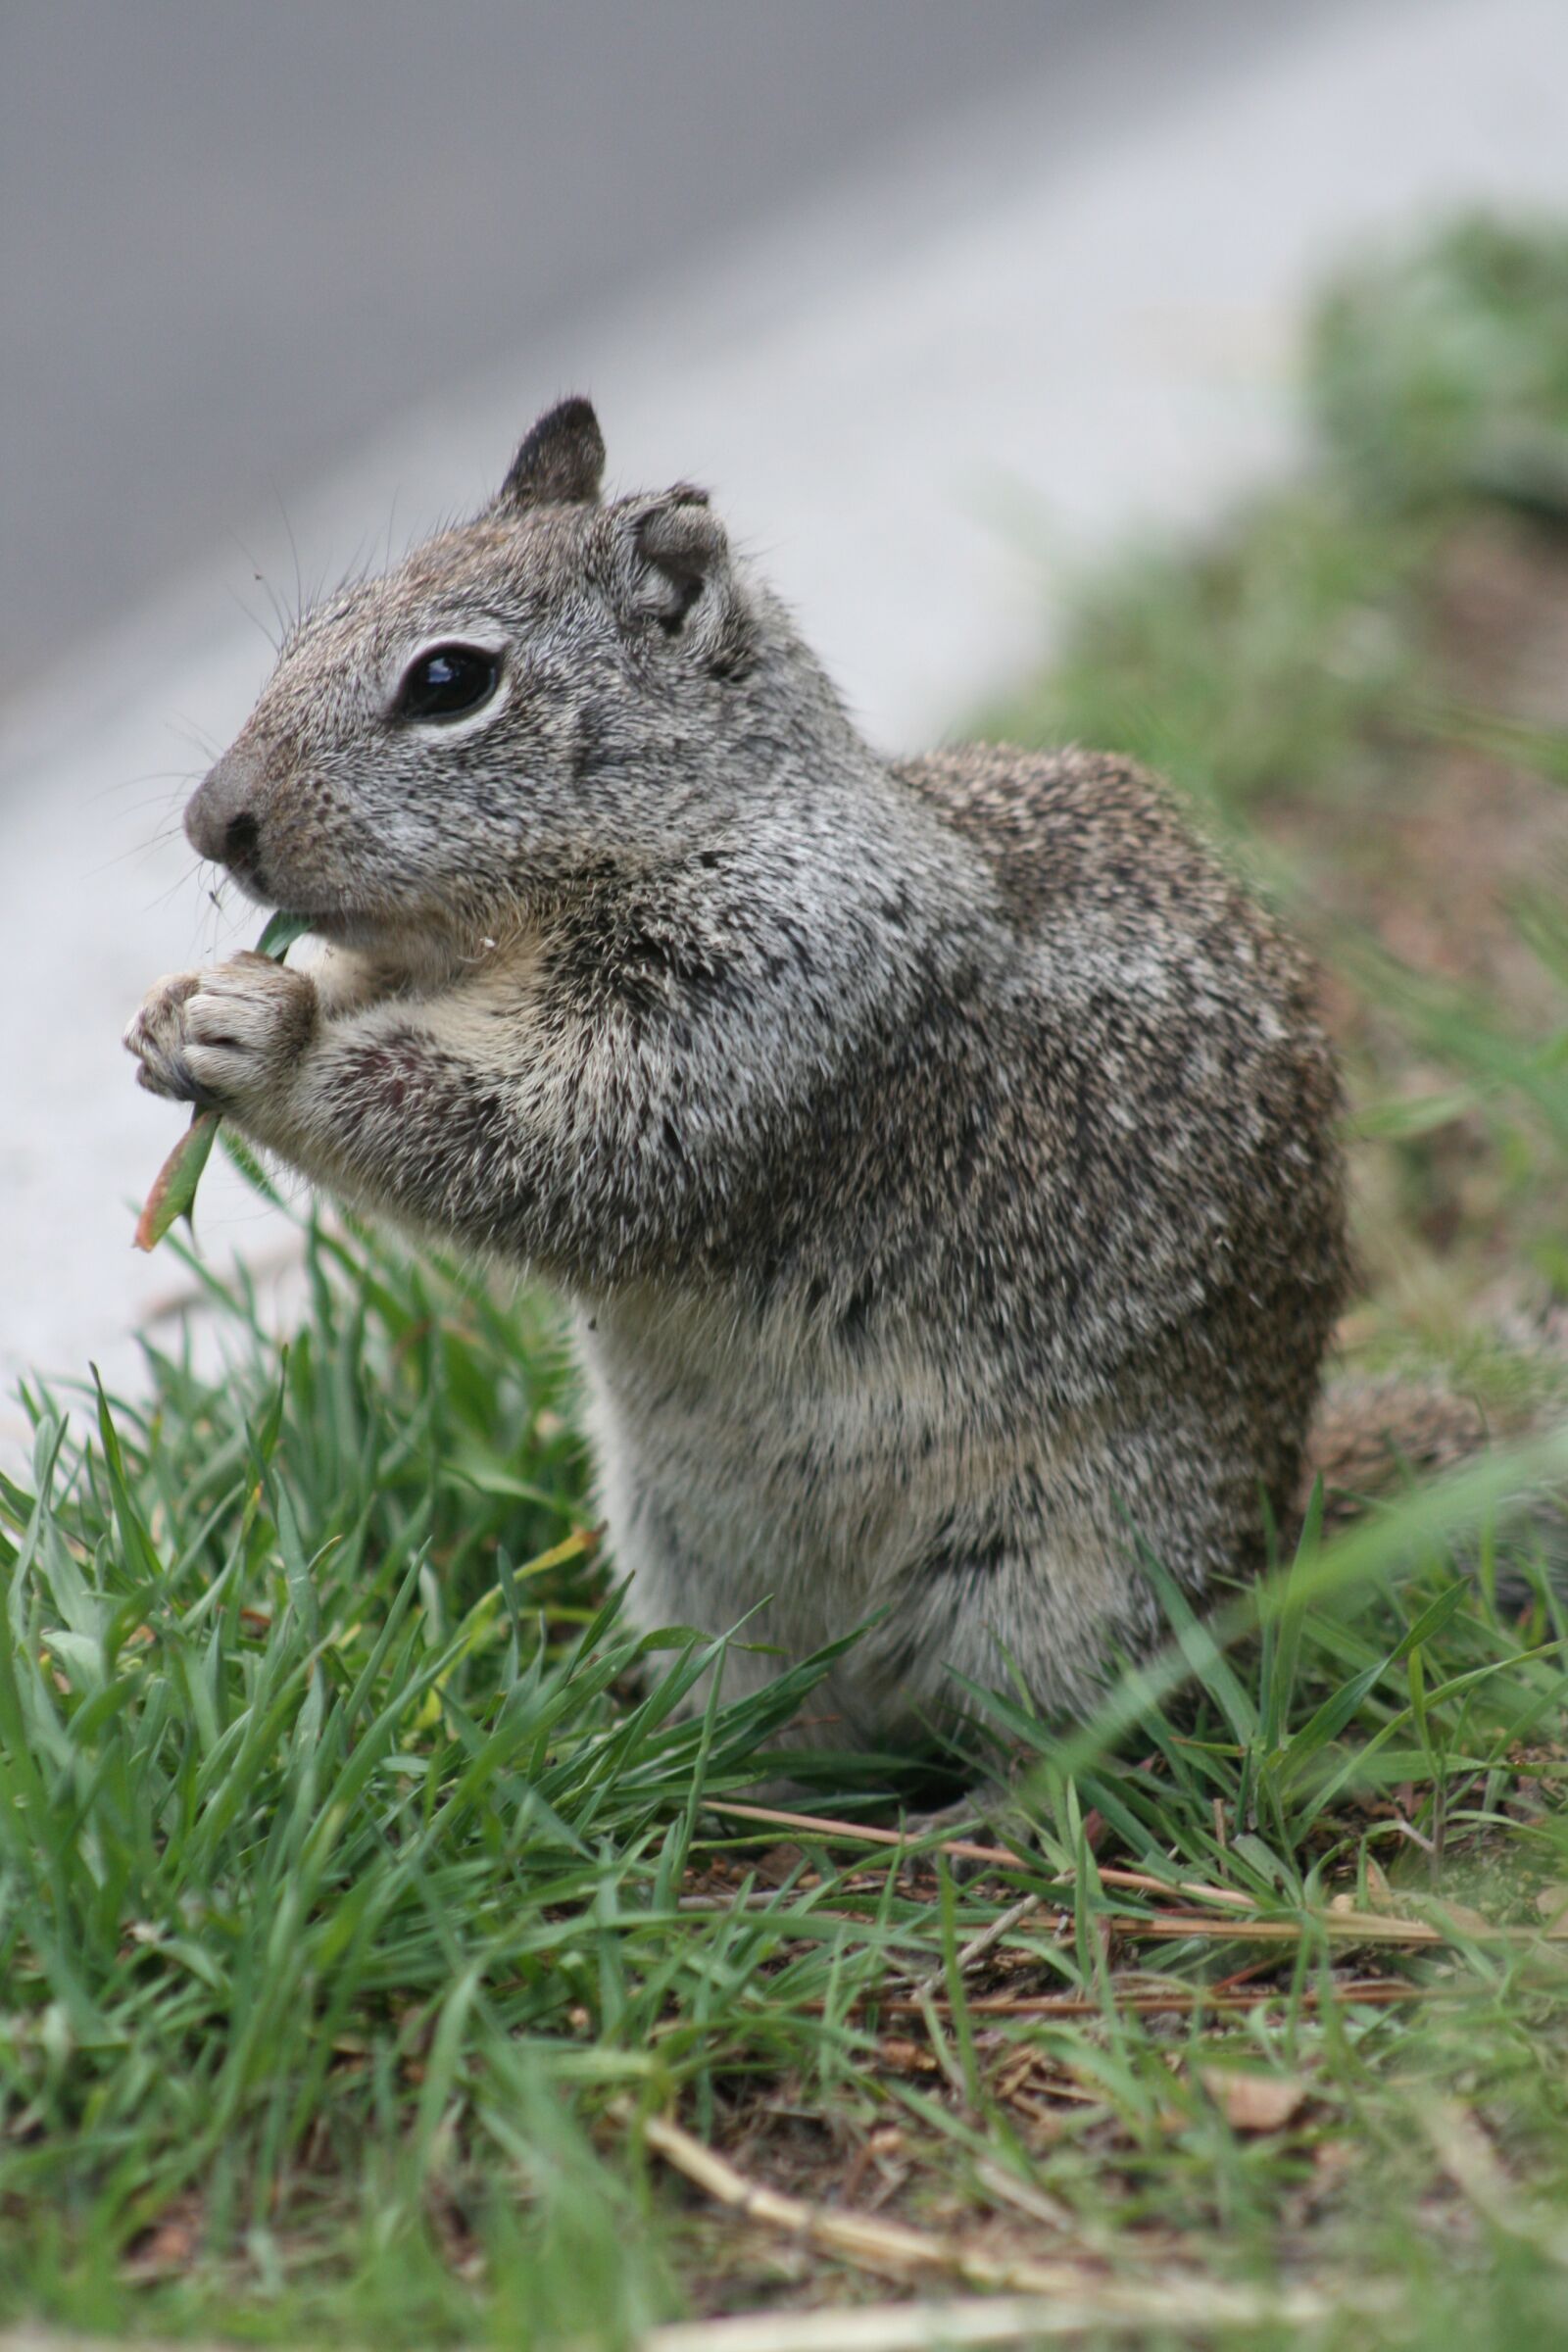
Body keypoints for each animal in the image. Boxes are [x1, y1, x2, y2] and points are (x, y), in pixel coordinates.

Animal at [126, 394, 1361, 1751]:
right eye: (311, 630)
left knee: (1079, 1730)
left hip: (1060, 1570)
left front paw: (268, 1041)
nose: (211, 823)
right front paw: (173, 1015)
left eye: (449, 681)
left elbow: (547, 1144)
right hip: (687, 1565)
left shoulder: (759, 998)